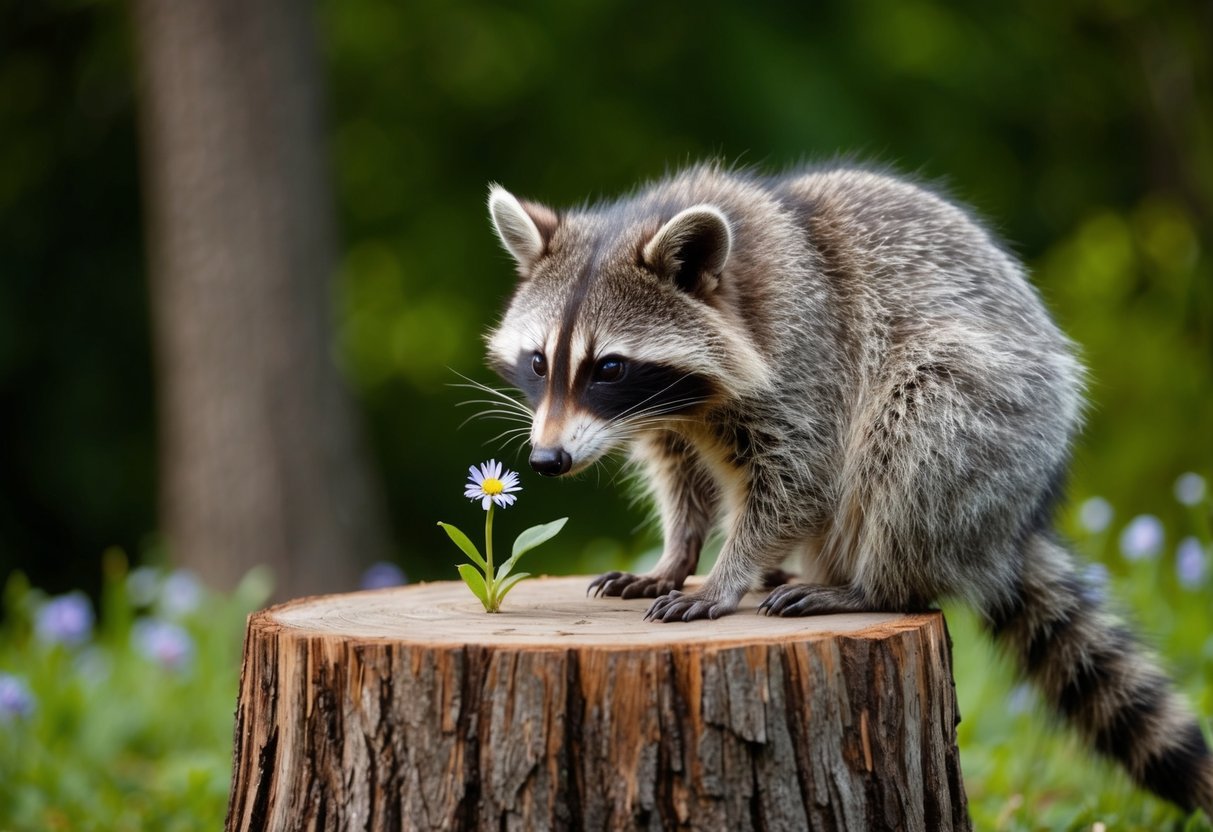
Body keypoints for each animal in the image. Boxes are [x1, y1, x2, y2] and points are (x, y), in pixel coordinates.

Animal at [482, 163, 1213, 815]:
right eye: (540, 362)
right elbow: (682, 482)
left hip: (997, 424)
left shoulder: (807, 355)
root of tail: (1013, 525)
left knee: (918, 430)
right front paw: (677, 555)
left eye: (607, 367)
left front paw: (727, 573)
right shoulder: (666, 422)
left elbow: (799, 480)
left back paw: (872, 584)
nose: (547, 459)